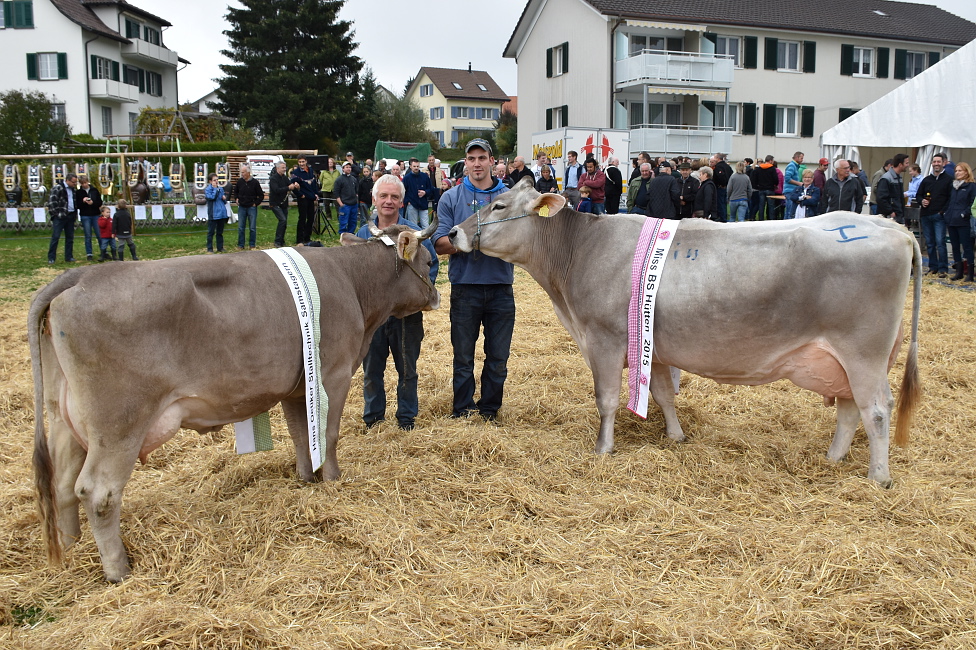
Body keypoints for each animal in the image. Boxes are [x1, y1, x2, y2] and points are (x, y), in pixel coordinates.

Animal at [30, 220, 440, 580]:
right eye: (429, 261)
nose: (436, 296)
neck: (354, 283)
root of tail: (82, 276)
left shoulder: (296, 386)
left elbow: (300, 434)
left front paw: (306, 478)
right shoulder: (332, 375)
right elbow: (328, 433)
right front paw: (333, 480)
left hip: (64, 417)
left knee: (62, 483)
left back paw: (72, 547)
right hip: (118, 423)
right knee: (97, 492)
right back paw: (118, 570)